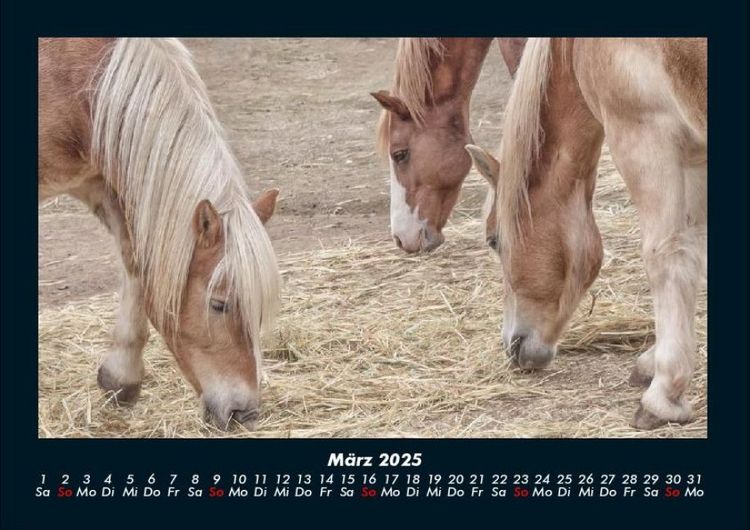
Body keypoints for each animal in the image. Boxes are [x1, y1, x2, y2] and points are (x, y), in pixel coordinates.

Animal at [38, 38, 282, 430]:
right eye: (219, 304)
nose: (244, 413)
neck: (74, 76)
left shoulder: (102, 183)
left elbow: (136, 263)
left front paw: (121, 377)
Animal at [465, 38, 707, 429]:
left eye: (494, 240)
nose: (514, 347)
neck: (577, 49)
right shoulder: (694, 155)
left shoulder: (646, 138)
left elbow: (667, 259)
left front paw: (663, 395)